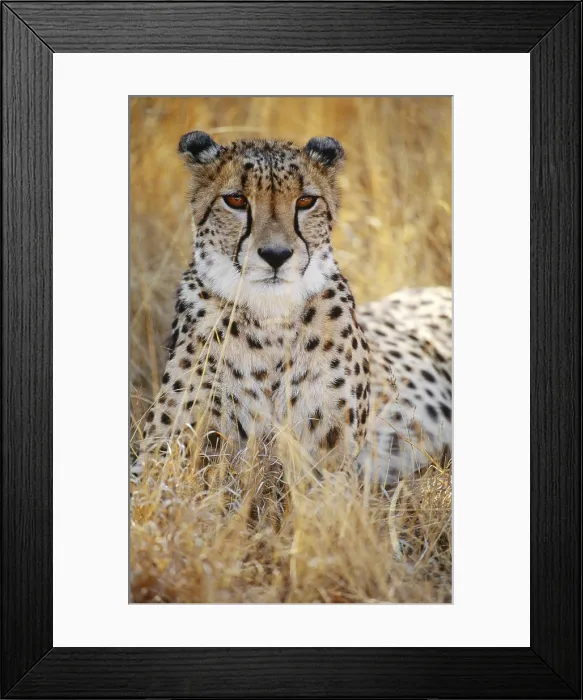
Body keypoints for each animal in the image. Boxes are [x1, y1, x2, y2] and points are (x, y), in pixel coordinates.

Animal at [135, 131, 451, 485]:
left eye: (305, 202)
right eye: (236, 200)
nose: (276, 254)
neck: (269, 319)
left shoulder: (332, 464)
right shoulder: (160, 448)